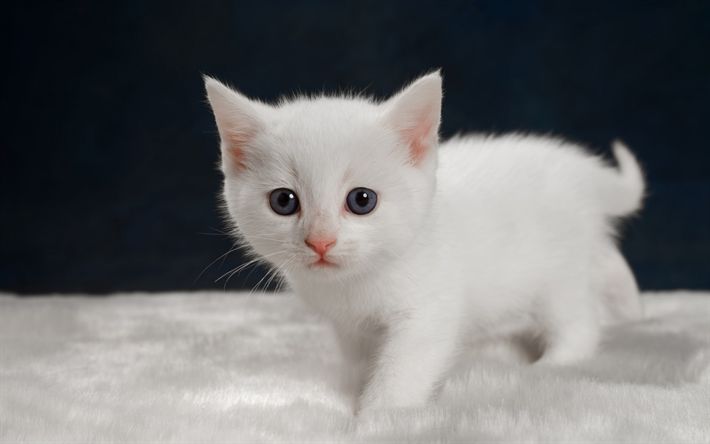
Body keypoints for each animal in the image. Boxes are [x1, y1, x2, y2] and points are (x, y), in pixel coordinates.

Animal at [204, 72, 644, 410]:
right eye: (284, 201)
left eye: (361, 200)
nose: (321, 241)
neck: (356, 285)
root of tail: (584, 171)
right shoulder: (350, 328)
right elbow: (360, 361)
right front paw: (355, 391)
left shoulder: (429, 312)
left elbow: (402, 371)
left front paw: (377, 419)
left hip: (559, 275)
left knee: (579, 322)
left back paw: (553, 364)